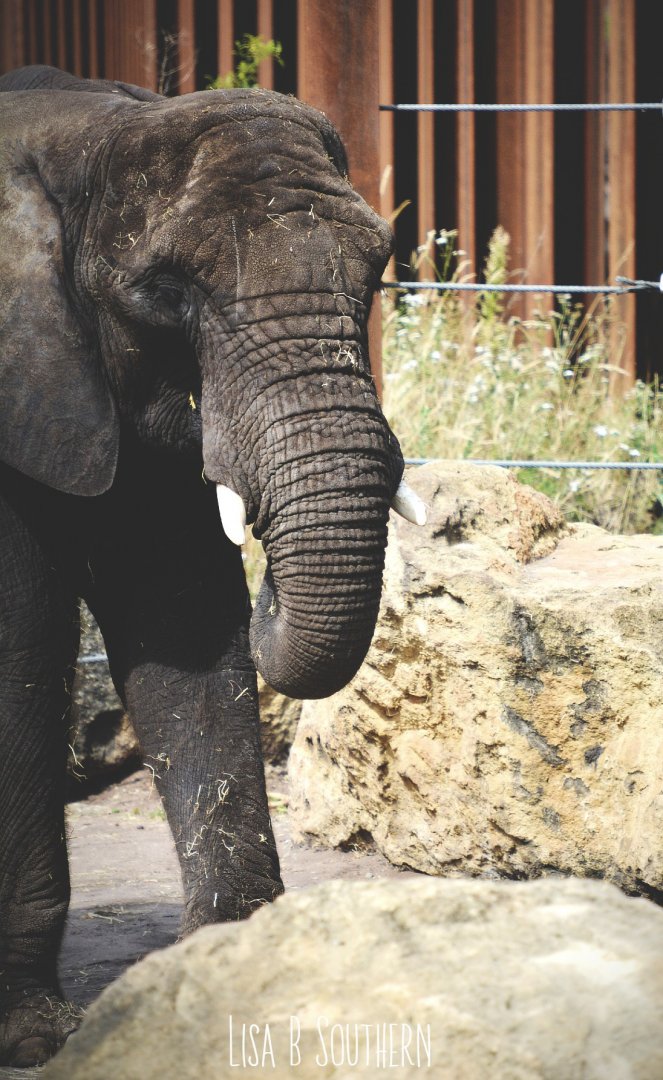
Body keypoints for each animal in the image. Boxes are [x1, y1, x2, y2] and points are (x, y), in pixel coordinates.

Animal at [0, 65, 425, 1066]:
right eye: (163, 290)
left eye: (378, 267)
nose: (266, 581)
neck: (83, 131)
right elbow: (21, 643)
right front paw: (34, 1038)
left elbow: (182, 622)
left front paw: (234, 985)